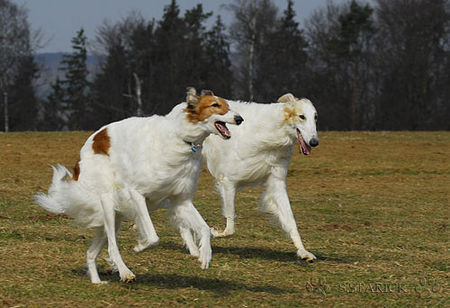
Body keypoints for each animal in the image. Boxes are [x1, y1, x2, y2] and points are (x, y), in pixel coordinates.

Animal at [34, 87, 246, 284]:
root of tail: (83, 155)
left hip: (114, 217)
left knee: (91, 252)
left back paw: (97, 281)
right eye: (215, 105)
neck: (181, 138)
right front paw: (139, 246)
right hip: (108, 204)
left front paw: (205, 256)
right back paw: (125, 273)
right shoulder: (136, 193)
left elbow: (204, 229)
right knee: (112, 246)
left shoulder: (181, 200)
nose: (240, 119)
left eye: (228, 105)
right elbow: (153, 237)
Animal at [202, 92, 318, 262]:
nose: (314, 142)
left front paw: (303, 252)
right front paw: (214, 232)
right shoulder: (228, 181)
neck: (270, 132)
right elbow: (230, 225)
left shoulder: (276, 182)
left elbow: (290, 221)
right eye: (302, 116)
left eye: (315, 117)